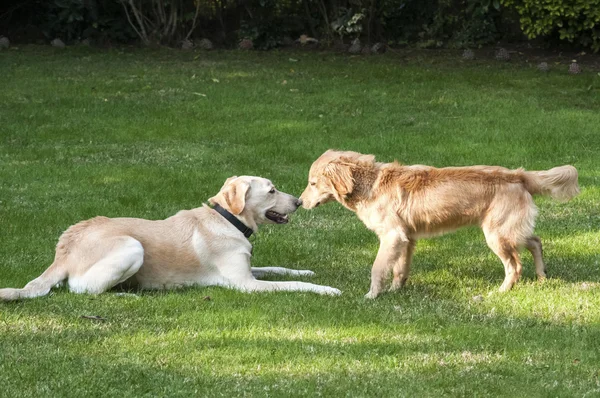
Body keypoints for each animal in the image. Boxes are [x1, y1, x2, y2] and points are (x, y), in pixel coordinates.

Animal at [0, 176, 340, 300]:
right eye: (271, 191)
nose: (299, 201)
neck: (226, 218)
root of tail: (65, 249)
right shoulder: (246, 284)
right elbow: (292, 284)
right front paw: (326, 289)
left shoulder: (249, 269)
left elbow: (281, 269)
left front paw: (306, 271)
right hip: (132, 247)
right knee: (83, 289)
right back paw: (131, 295)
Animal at [302, 150, 580, 298]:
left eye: (313, 183)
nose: (300, 201)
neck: (369, 184)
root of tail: (519, 175)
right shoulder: (407, 239)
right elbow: (399, 269)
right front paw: (396, 290)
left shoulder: (392, 236)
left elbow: (377, 268)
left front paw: (372, 295)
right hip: (510, 230)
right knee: (535, 241)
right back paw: (542, 276)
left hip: (496, 235)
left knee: (515, 265)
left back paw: (500, 291)